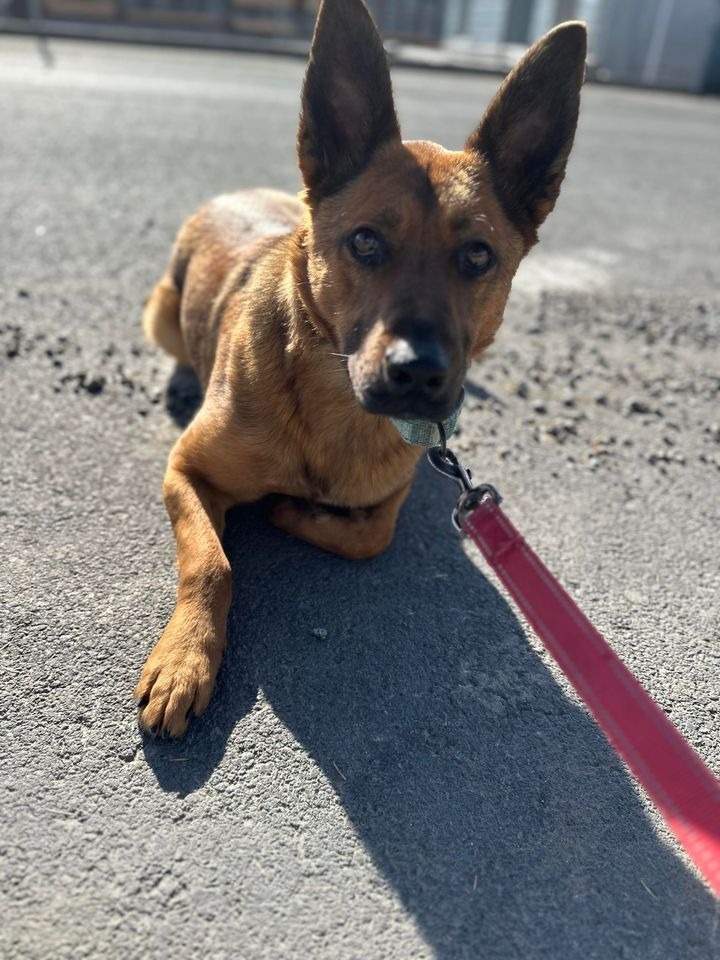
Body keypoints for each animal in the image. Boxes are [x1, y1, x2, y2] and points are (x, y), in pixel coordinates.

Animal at [134, 0, 584, 740]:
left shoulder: (391, 495)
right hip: (161, 315)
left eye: (478, 256)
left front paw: (293, 510)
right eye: (366, 242)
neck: (331, 407)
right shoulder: (185, 470)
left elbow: (373, 534)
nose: (420, 374)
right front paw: (185, 659)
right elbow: (211, 564)